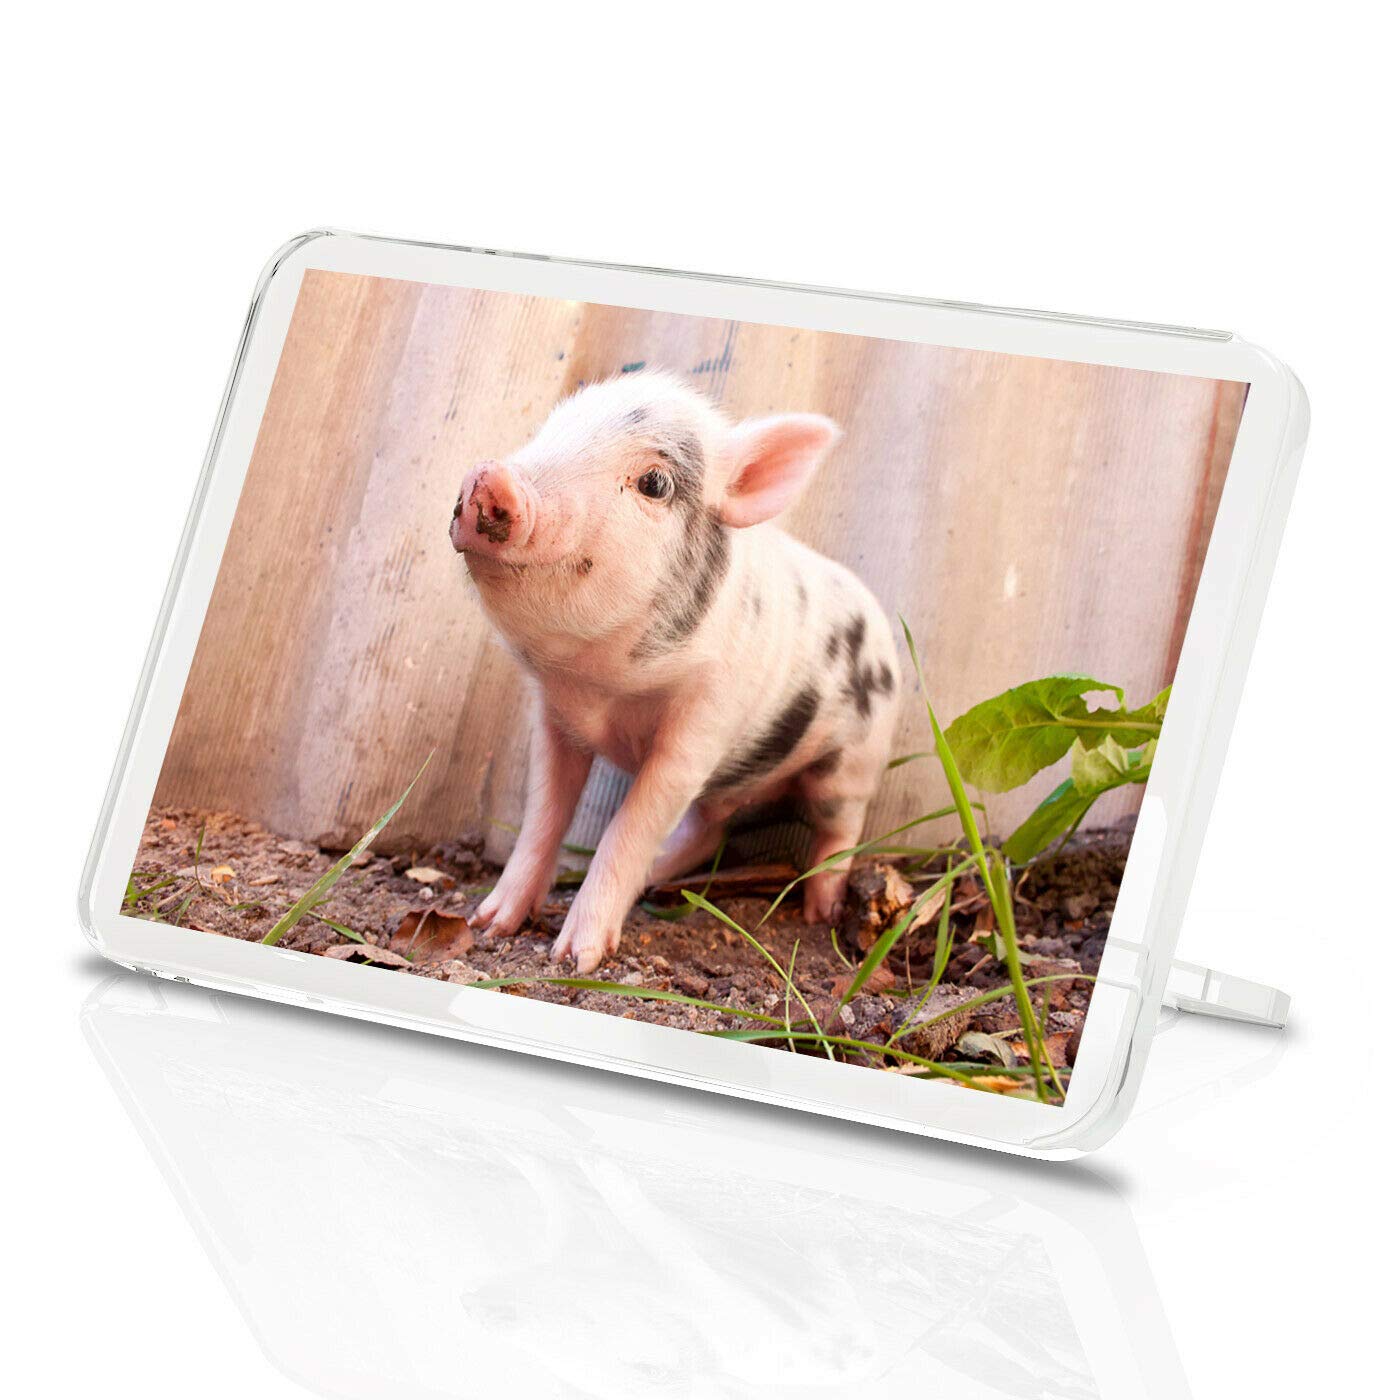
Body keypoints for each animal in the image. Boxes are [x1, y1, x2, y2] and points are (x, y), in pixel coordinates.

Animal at [449, 371, 900, 974]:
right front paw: (488, 924)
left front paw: (576, 961)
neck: (603, 690)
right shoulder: (553, 719)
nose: (488, 475)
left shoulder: (704, 721)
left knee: (839, 831)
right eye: (549, 429)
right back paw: (659, 874)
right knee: (709, 827)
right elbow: (543, 814)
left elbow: (631, 824)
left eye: (655, 482)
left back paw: (818, 913)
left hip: (850, 765)